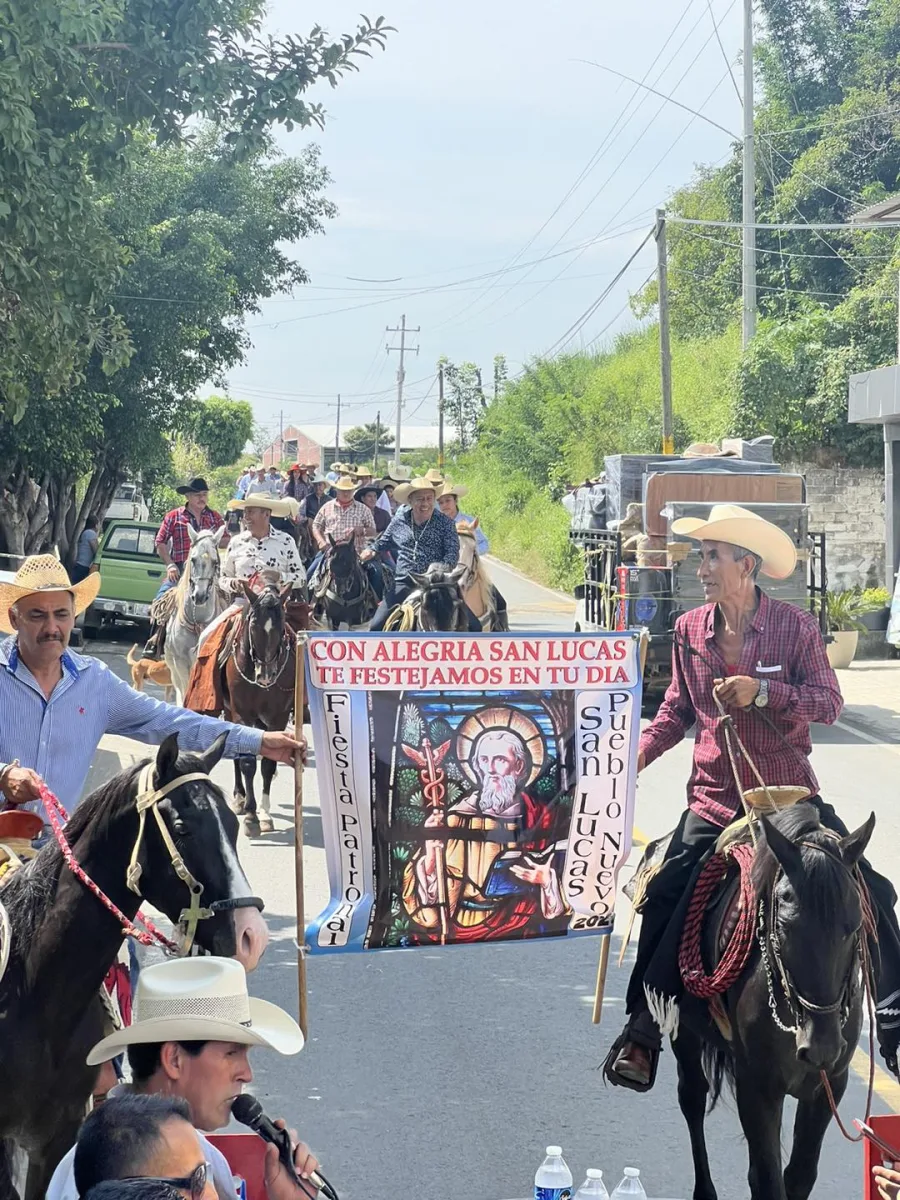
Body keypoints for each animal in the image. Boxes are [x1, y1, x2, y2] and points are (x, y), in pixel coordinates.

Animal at [676, 801, 873, 1200]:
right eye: (784, 925)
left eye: (853, 925)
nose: (821, 1046)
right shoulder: (758, 1087)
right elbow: (767, 1179)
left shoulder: (830, 1084)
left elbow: (798, 1176)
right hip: (684, 1029)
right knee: (692, 1096)